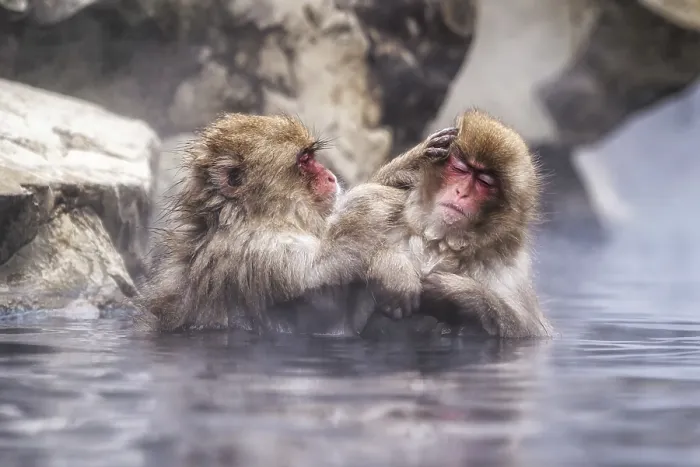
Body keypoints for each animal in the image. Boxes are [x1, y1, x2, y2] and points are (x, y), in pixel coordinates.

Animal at [135, 112, 458, 335]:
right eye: (304, 160)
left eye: (311, 156)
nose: (329, 175)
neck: (253, 215)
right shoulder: (257, 251)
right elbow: (319, 285)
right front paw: (373, 202)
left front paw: (414, 162)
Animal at [338, 109, 553, 338]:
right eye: (460, 169)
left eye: (484, 182)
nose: (462, 192)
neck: (439, 239)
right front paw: (393, 269)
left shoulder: (510, 268)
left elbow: (527, 330)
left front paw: (456, 291)